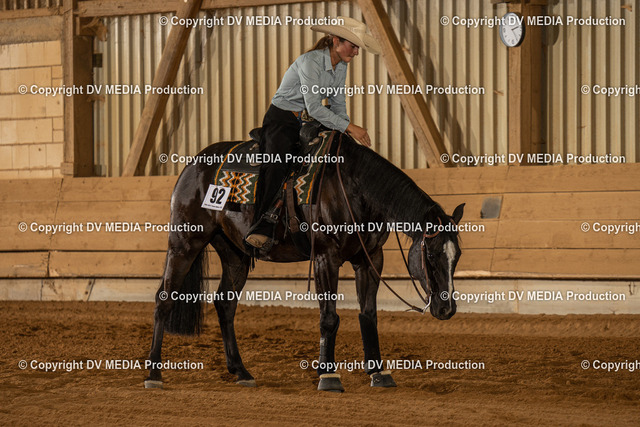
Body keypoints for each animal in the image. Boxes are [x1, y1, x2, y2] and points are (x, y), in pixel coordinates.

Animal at [145, 131, 465, 392]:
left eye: (457, 255)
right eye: (432, 254)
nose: (447, 309)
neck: (353, 188)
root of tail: (192, 166)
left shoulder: (369, 258)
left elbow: (368, 315)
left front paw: (378, 373)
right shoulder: (326, 258)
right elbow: (329, 318)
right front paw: (328, 376)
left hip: (234, 253)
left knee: (225, 304)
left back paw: (241, 372)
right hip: (185, 242)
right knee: (164, 299)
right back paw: (154, 374)